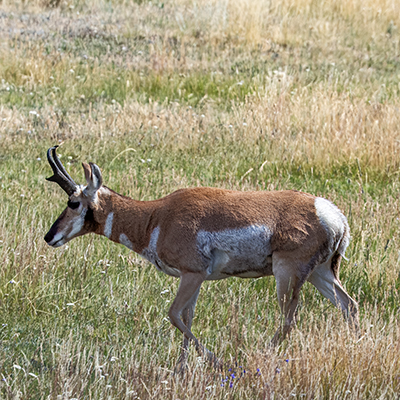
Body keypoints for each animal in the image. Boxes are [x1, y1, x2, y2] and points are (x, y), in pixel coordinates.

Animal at [44, 146, 360, 368]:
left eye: (73, 202)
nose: (49, 237)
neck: (157, 216)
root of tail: (332, 214)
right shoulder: (194, 279)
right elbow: (187, 317)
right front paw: (180, 370)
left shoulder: (192, 273)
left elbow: (173, 313)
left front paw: (214, 360)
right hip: (321, 273)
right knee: (349, 305)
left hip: (287, 274)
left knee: (288, 319)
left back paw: (253, 358)